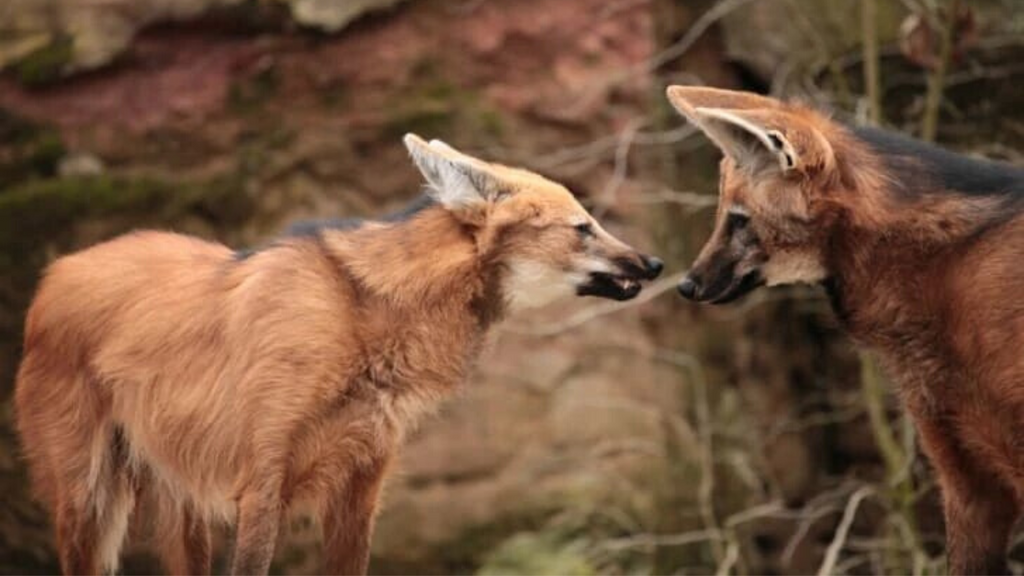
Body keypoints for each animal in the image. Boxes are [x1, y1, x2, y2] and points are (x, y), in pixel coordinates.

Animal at [14, 132, 663, 569]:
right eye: (583, 227)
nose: (654, 263)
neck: (365, 320)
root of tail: (56, 272)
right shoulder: (262, 485)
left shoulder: (359, 489)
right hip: (88, 497)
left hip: (180, 498)